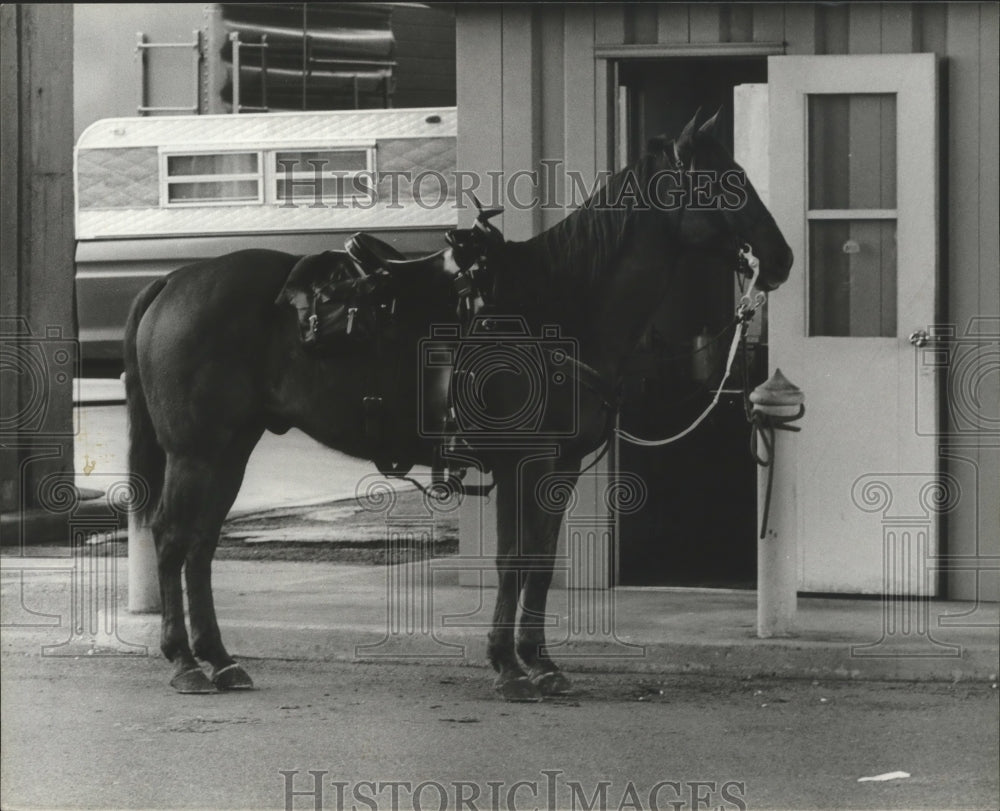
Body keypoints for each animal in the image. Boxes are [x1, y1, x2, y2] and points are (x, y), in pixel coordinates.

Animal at [127, 109, 788, 696]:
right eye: (725, 181)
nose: (780, 257)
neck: (557, 303)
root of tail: (176, 279)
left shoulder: (560, 467)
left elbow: (539, 562)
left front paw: (539, 663)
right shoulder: (522, 463)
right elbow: (513, 561)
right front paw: (509, 666)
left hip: (229, 448)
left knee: (201, 544)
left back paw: (220, 659)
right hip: (197, 451)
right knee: (173, 537)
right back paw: (184, 662)